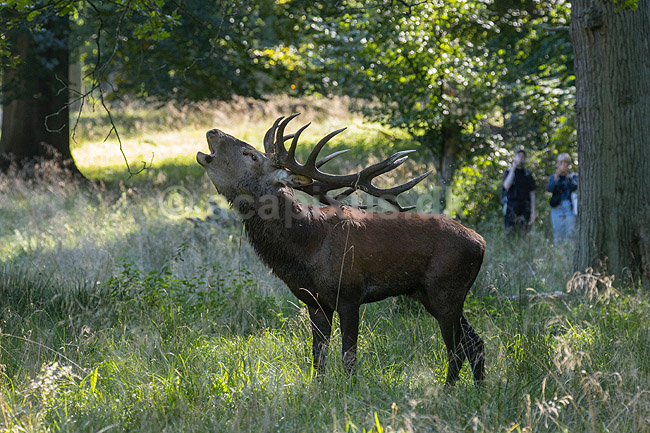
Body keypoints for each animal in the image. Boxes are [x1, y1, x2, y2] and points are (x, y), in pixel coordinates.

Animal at [196, 114, 486, 387]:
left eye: (251, 155)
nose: (213, 131)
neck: (306, 247)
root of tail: (481, 243)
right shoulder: (315, 303)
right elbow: (318, 356)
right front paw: (319, 389)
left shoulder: (349, 294)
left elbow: (349, 357)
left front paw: (350, 390)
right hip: (432, 294)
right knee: (476, 343)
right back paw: (478, 391)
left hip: (446, 290)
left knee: (457, 348)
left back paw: (448, 392)